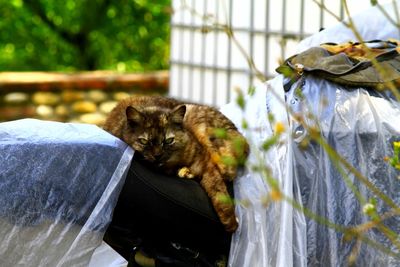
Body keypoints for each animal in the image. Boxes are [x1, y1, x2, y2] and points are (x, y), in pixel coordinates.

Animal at [101, 96, 248, 232]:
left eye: (168, 140)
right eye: (144, 141)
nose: (157, 155)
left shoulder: (204, 161)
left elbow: (219, 192)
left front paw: (231, 224)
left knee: (228, 173)